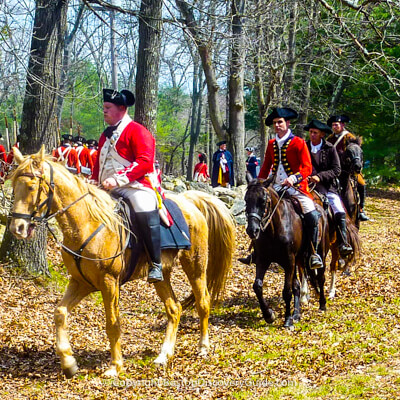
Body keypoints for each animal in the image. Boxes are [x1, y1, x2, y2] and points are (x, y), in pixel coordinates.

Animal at [9, 147, 236, 378]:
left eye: (31, 187)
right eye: (14, 186)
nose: (17, 228)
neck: (87, 224)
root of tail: (189, 201)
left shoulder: (109, 282)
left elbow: (112, 323)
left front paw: (115, 366)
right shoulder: (81, 282)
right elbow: (60, 313)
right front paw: (68, 362)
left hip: (195, 266)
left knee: (203, 302)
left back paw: (203, 347)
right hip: (161, 275)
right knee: (174, 308)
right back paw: (164, 355)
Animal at [244, 180, 328, 330]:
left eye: (263, 200)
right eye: (246, 200)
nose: (252, 230)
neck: (274, 229)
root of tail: (321, 209)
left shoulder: (289, 261)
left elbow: (287, 291)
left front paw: (287, 319)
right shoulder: (263, 260)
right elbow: (257, 286)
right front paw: (269, 315)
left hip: (320, 252)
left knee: (320, 277)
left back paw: (322, 304)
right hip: (298, 259)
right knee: (297, 284)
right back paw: (297, 314)